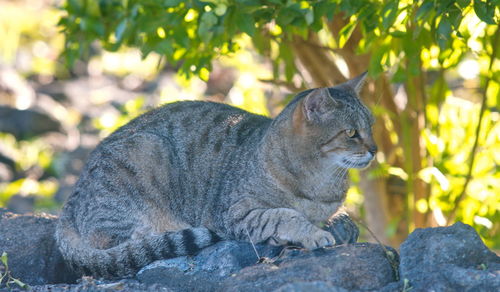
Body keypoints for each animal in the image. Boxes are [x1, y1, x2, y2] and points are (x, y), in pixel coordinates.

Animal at [55, 72, 376, 278]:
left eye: (371, 126)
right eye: (351, 133)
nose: (375, 149)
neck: (320, 181)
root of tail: (68, 204)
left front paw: (338, 222)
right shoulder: (236, 214)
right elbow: (285, 215)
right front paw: (312, 233)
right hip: (145, 152)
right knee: (121, 243)